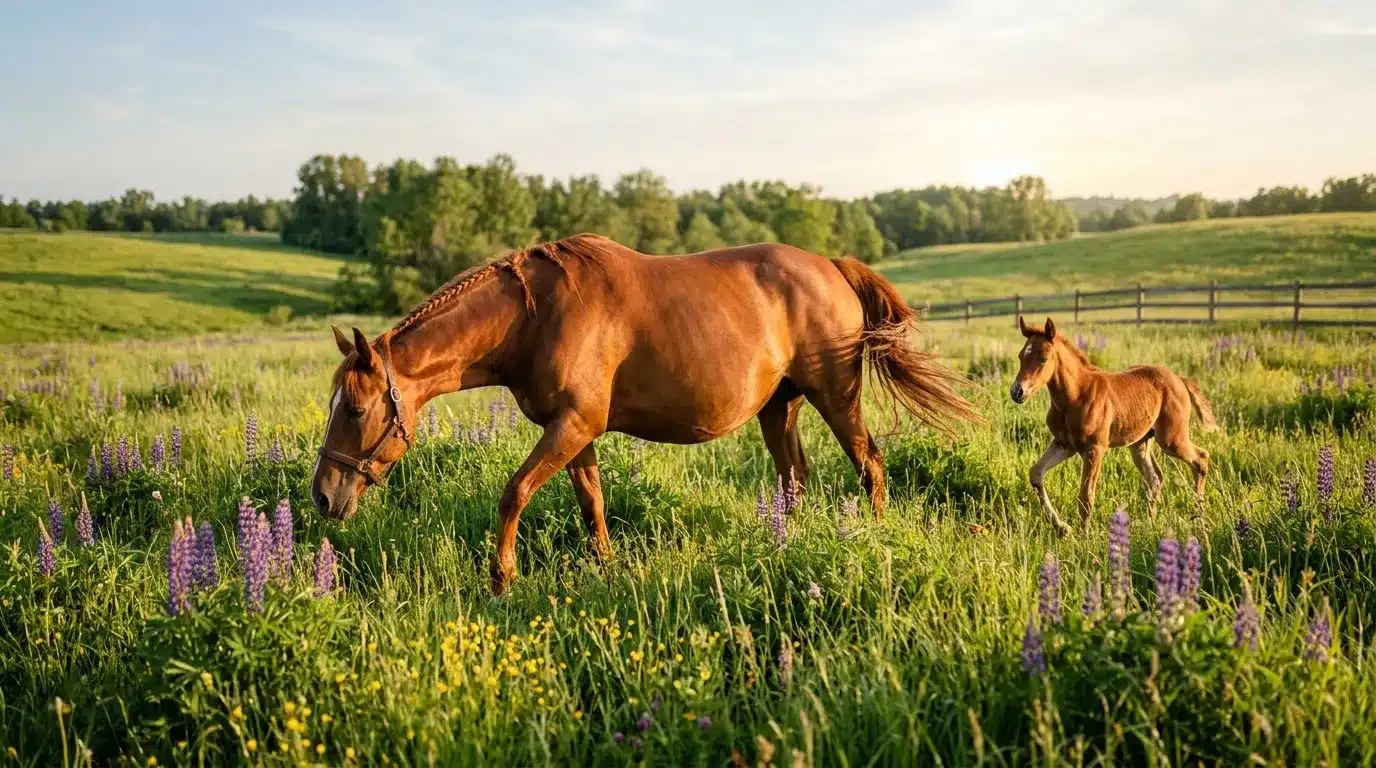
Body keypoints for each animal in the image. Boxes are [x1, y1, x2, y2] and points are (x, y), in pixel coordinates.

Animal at [311, 233, 981, 594]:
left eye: (357, 408)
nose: (322, 495)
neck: (534, 315)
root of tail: (831, 266)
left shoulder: (573, 426)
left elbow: (514, 493)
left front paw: (501, 579)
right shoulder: (574, 432)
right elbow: (592, 504)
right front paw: (605, 570)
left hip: (835, 396)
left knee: (870, 466)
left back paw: (874, 538)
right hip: (780, 406)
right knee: (794, 480)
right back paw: (786, 544)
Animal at [1009, 316, 1217, 534]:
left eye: (1043, 359)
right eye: (1021, 356)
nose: (1017, 392)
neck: (1075, 395)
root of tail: (1179, 379)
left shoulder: (1095, 449)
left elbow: (1086, 496)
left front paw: (1084, 536)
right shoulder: (1064, 445)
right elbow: (1036, 473)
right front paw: (1062, 527)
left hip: (1172, 440)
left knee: (1201, 458)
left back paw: (1198, 516)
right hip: (1140, 443)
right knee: (1155, 479)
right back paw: (1150, 524)